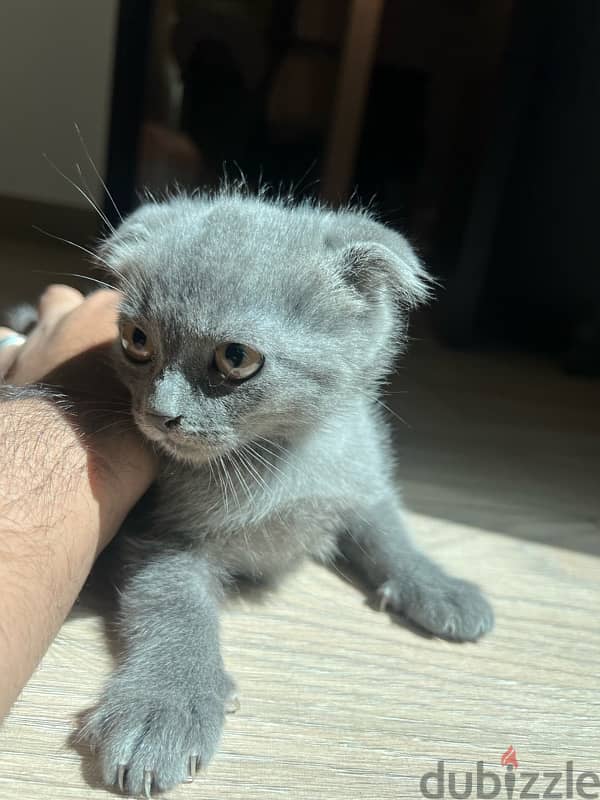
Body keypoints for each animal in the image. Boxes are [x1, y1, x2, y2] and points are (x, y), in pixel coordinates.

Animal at [68, 192, 496, 792]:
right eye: (137, 341)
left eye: (236, 358)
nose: (159, 414)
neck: (280, 460)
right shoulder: (160, 535)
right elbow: (176, 609)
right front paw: (164, 705)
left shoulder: (361, 480)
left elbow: (389, 532)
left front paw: (436, 585)